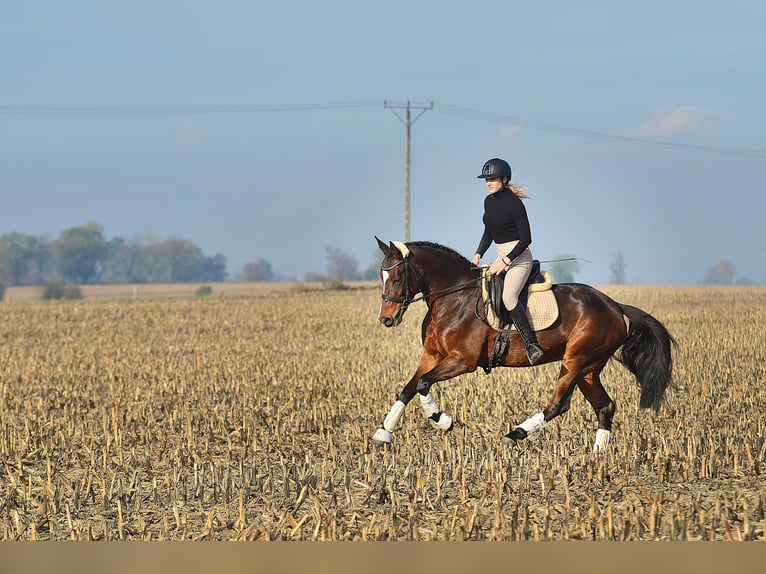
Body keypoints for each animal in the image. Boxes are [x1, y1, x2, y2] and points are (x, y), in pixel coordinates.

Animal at [372, 236, 680, 452]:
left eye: (397, 277)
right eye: (381, 275)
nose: (386, 319)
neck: (453, 298)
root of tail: (615, 306)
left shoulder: (463, 360)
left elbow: (423, 384)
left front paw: (443, 420)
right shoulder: (432, 355)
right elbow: (409, 387)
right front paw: (383, 432)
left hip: (575, 361)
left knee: (559, 405)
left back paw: (512, 436)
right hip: (589, 369)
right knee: (605, 406)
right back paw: (598, 455)